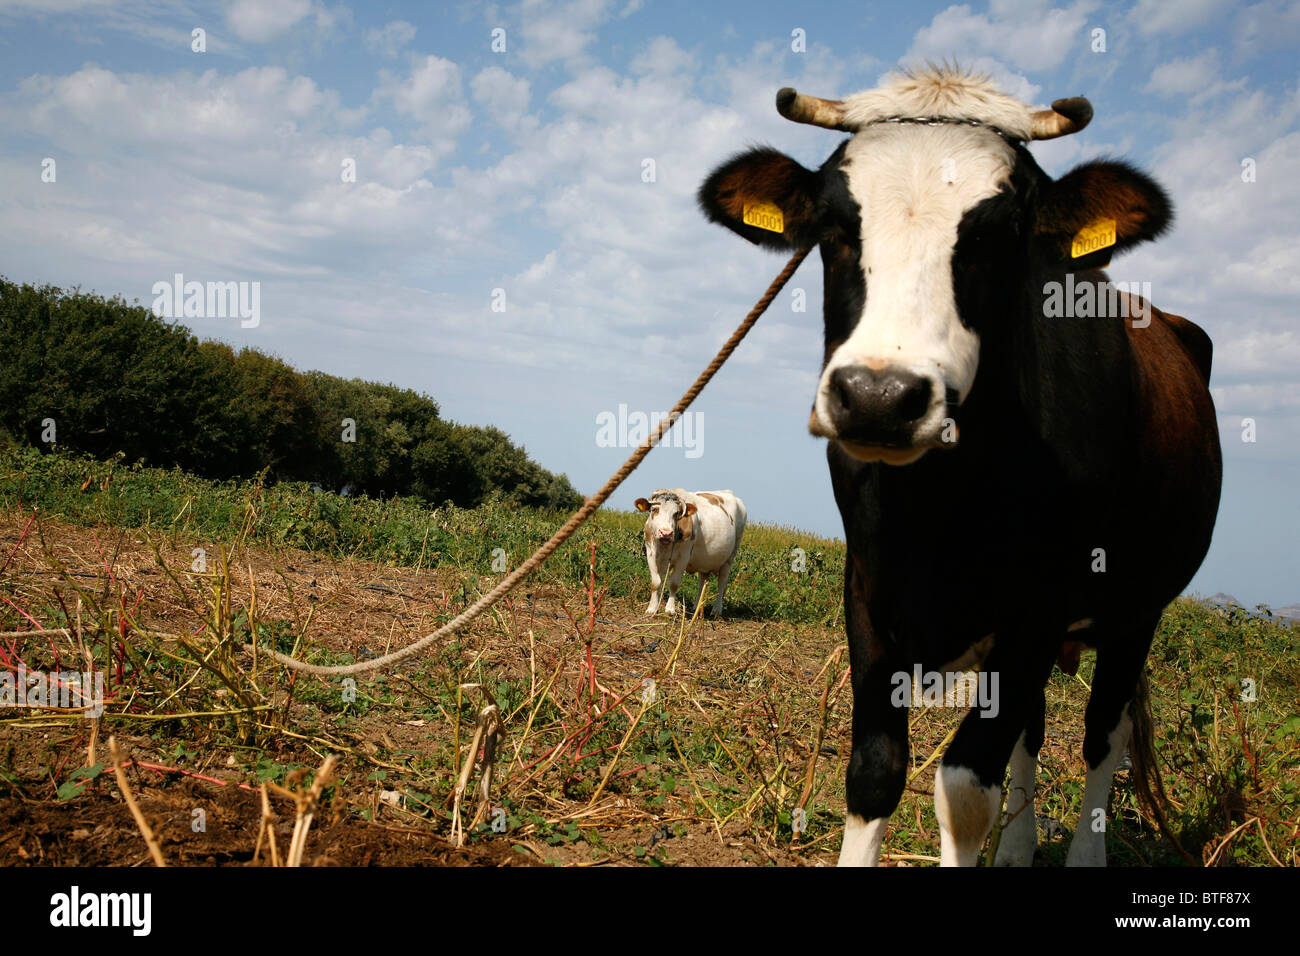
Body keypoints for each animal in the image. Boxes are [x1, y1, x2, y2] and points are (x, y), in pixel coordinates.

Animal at [702, 69, 1216, 868]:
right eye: (834, 229)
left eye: (999, 236)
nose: (878, 397)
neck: (939, 503)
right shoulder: (868, 589)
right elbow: (875, 767)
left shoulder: (1038, 608)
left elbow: (967, 787)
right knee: (1036, 730)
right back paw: (1017, 849)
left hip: (1138, 611)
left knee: (1103, 737)